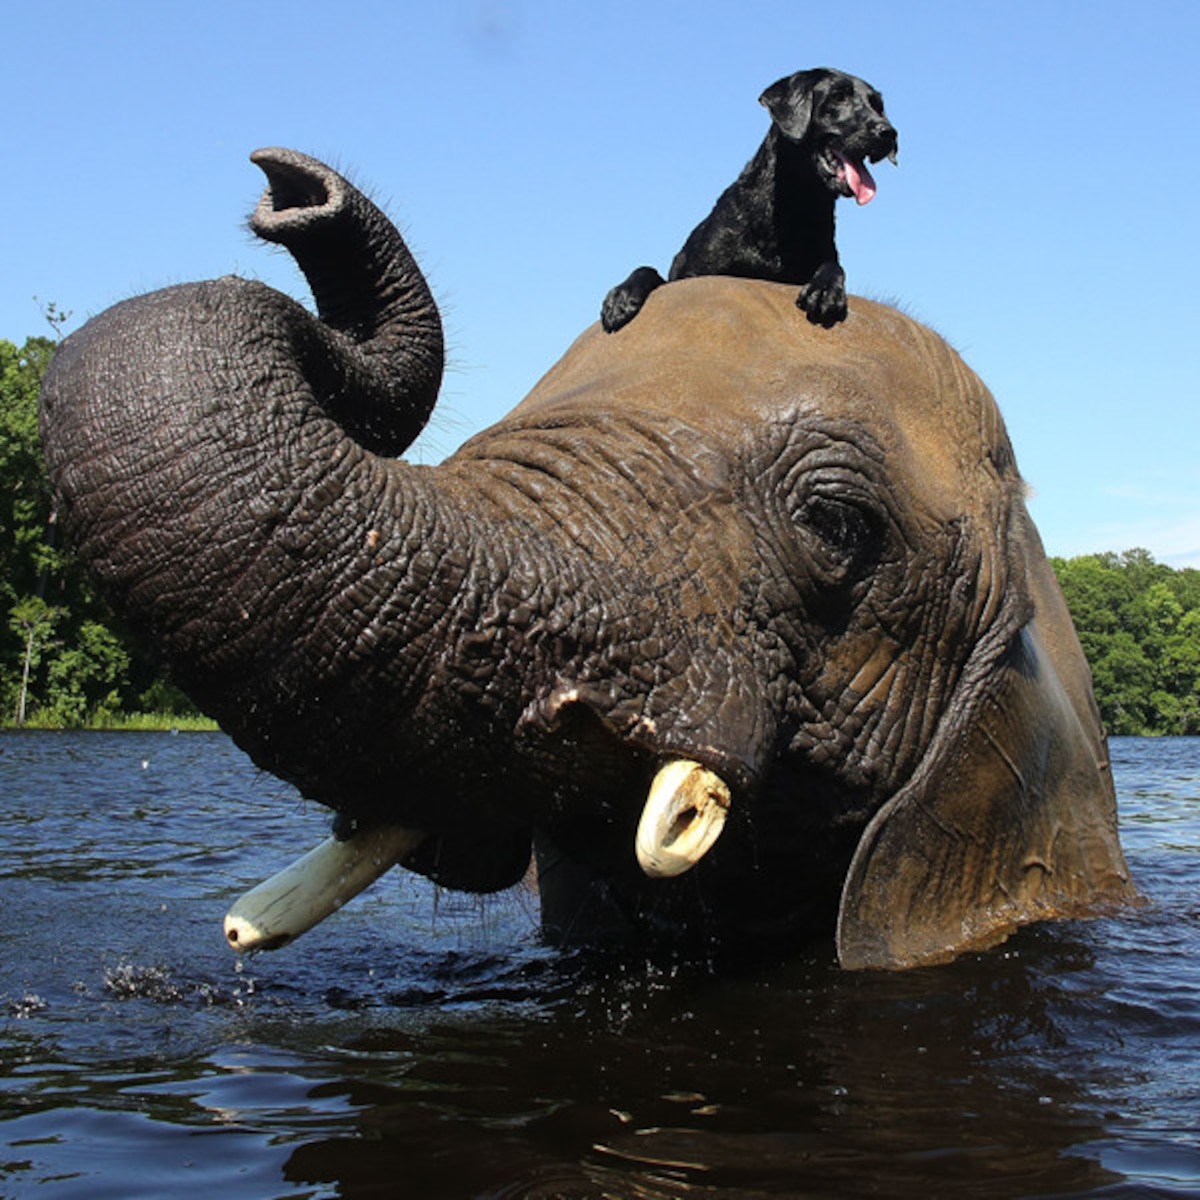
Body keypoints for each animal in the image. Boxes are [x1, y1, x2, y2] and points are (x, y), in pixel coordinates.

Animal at [604, 70, 897, 333]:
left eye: (877, 105)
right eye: (838, 97)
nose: (889, 133)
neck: (794, 207)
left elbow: (834, 265)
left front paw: (825, 291)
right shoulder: (693, 273)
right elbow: (649, 270)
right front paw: (621, 298)